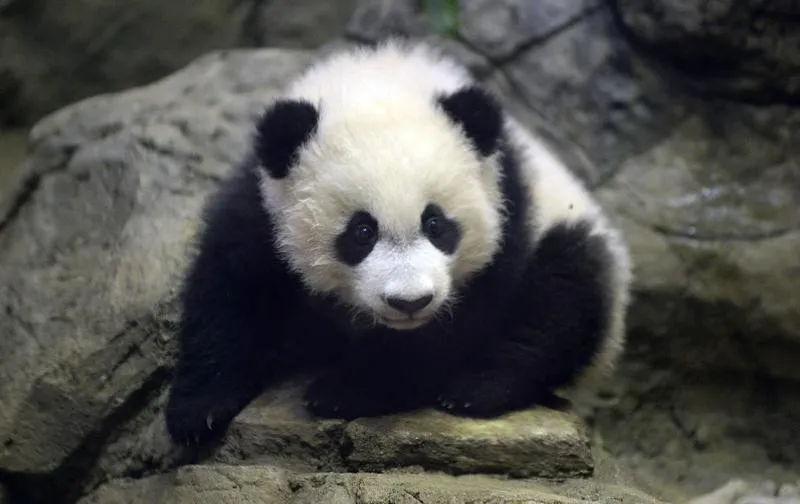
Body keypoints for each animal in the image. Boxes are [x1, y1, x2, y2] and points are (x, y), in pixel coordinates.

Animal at [164, 39, 632, 447]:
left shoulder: (508, 204)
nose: (410, 302)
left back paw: (480, 387)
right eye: (361, 232)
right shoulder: (264, 202)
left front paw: (348, 389)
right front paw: (197, 410)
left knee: (564, 293)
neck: (385, 76)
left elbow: (457, 327)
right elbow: (230, 284)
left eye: (436, 224)